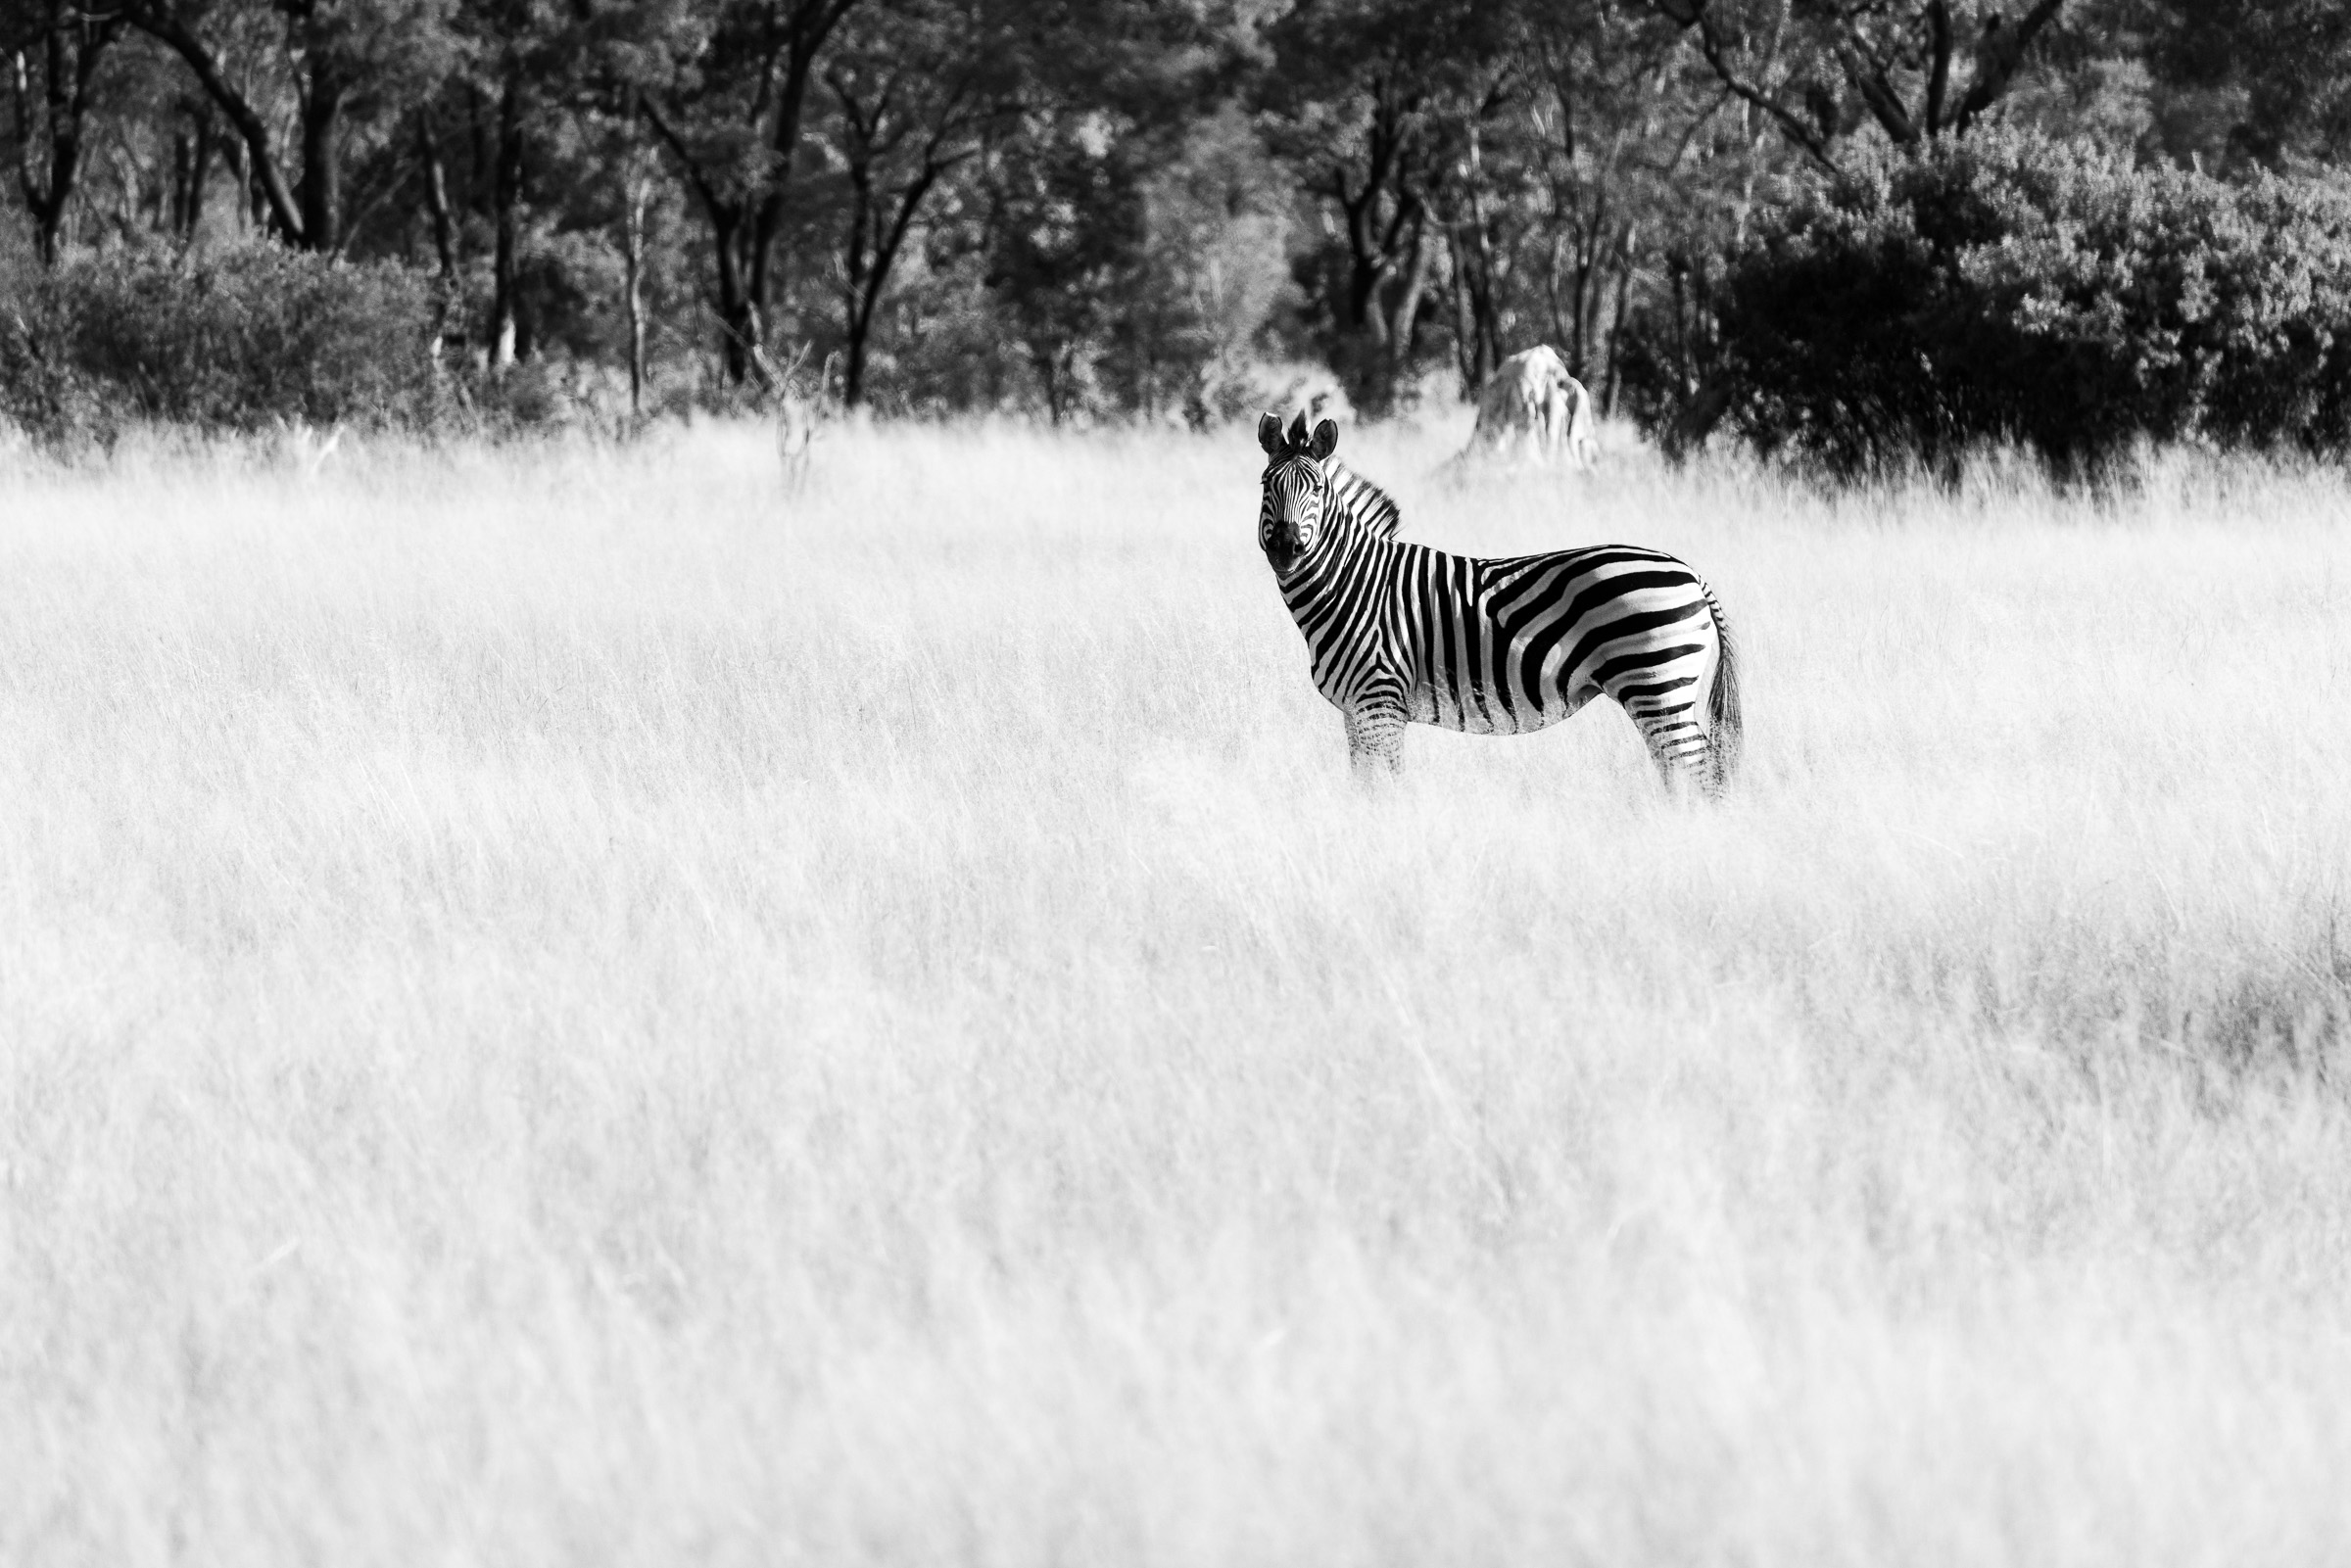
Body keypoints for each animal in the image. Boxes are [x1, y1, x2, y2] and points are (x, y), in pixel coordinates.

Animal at [1257, 412, 1741, 795]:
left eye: (1317, 490)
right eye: (1266, 485)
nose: (1285, 548)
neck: (1352, 583)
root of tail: (1689, 572)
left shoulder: (1381, 704)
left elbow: (1386, 785)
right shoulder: (1355, 712)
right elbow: (1362, 783)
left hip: (1657, 686)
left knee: (1698, 768)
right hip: (1660, 691)